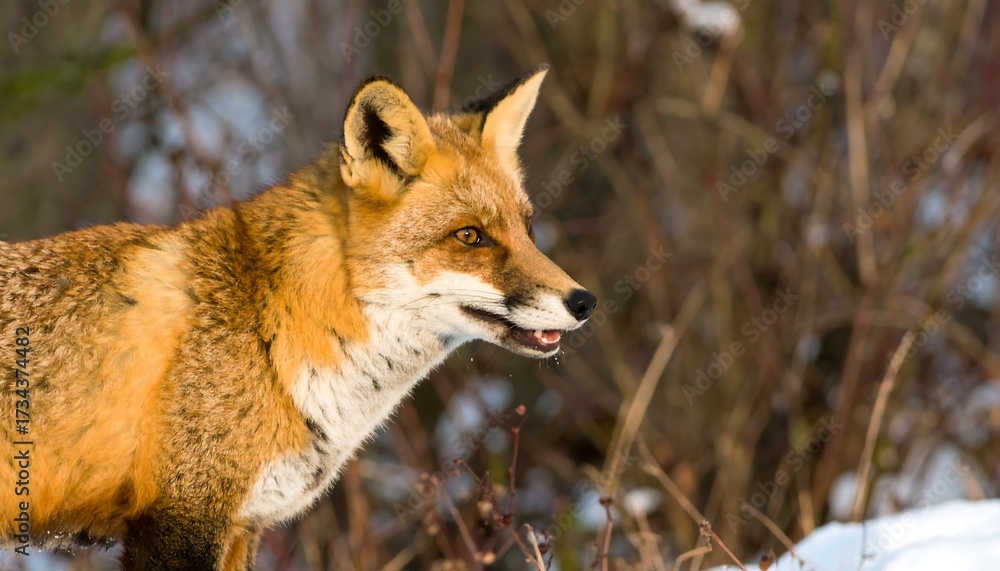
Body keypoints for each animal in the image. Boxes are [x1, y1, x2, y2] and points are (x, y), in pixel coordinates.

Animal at [0, 65, 596, 569]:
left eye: (527, 227)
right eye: (470, 236)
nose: (584, 302)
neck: (272, 329)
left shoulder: (242, 526)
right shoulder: (180, 519)